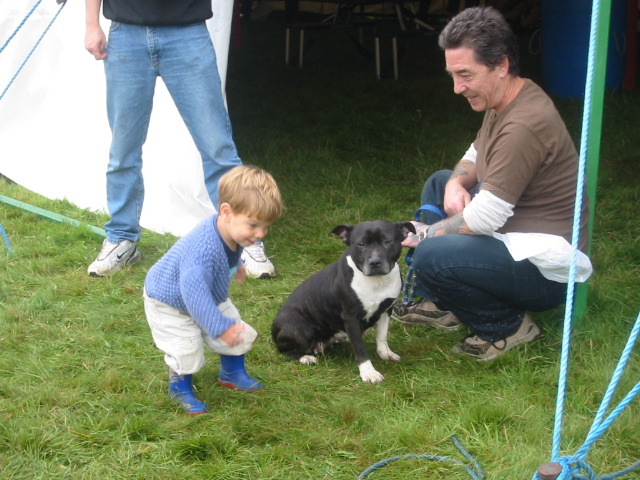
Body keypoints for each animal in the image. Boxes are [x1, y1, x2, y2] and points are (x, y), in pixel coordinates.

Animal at [272, 220, 416, 382]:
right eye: (361, 244)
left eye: (387, 242)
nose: (375, 262)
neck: (376, 281)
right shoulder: (351, 318)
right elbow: (360, 349)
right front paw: (368, 372)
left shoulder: (386, 310)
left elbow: (382, 335)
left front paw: (385, 353)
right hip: (299, 330)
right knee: (286, 350)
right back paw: (306, 358)